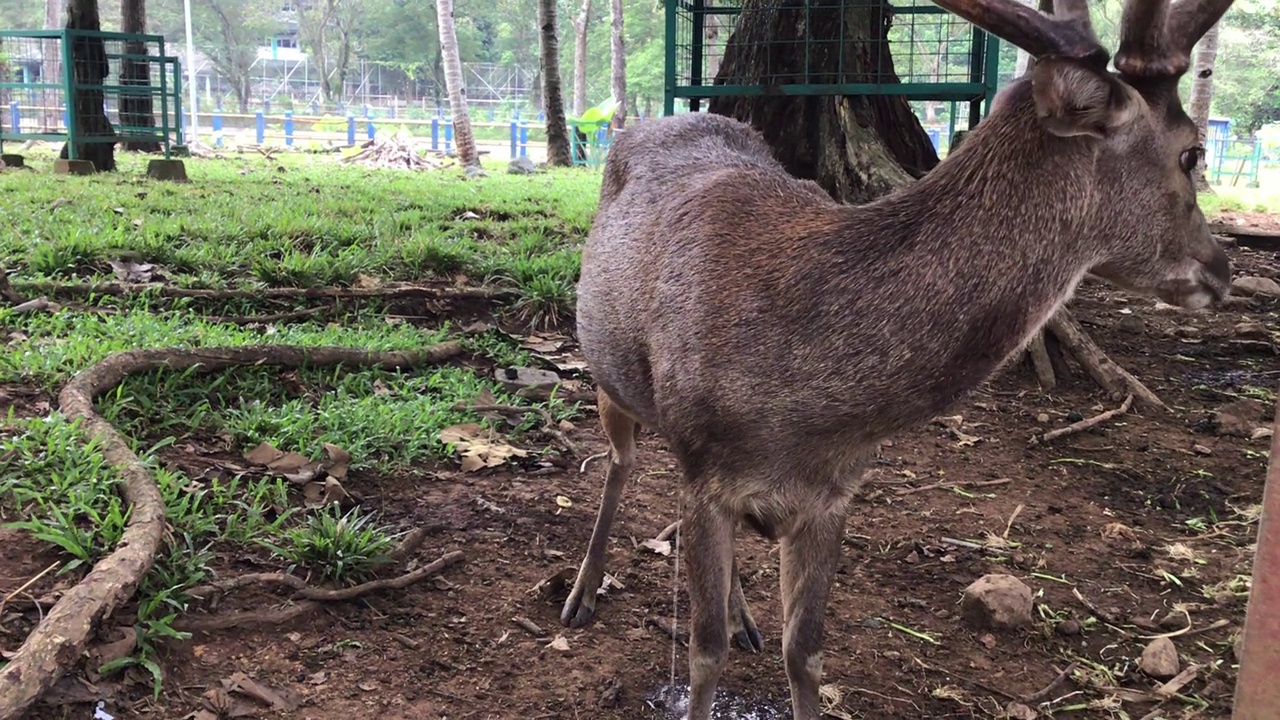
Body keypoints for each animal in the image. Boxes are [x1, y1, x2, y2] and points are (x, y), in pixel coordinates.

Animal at [558, 0, 1228, 712]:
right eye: (1191, 151)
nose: (1223, 269)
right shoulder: (708, 469)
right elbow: (702, 654)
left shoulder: (833, 493)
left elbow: (805, 653)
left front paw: (769, 639)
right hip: (609, 374)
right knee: (620, 463)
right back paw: (581, 593)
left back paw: (743, 618)